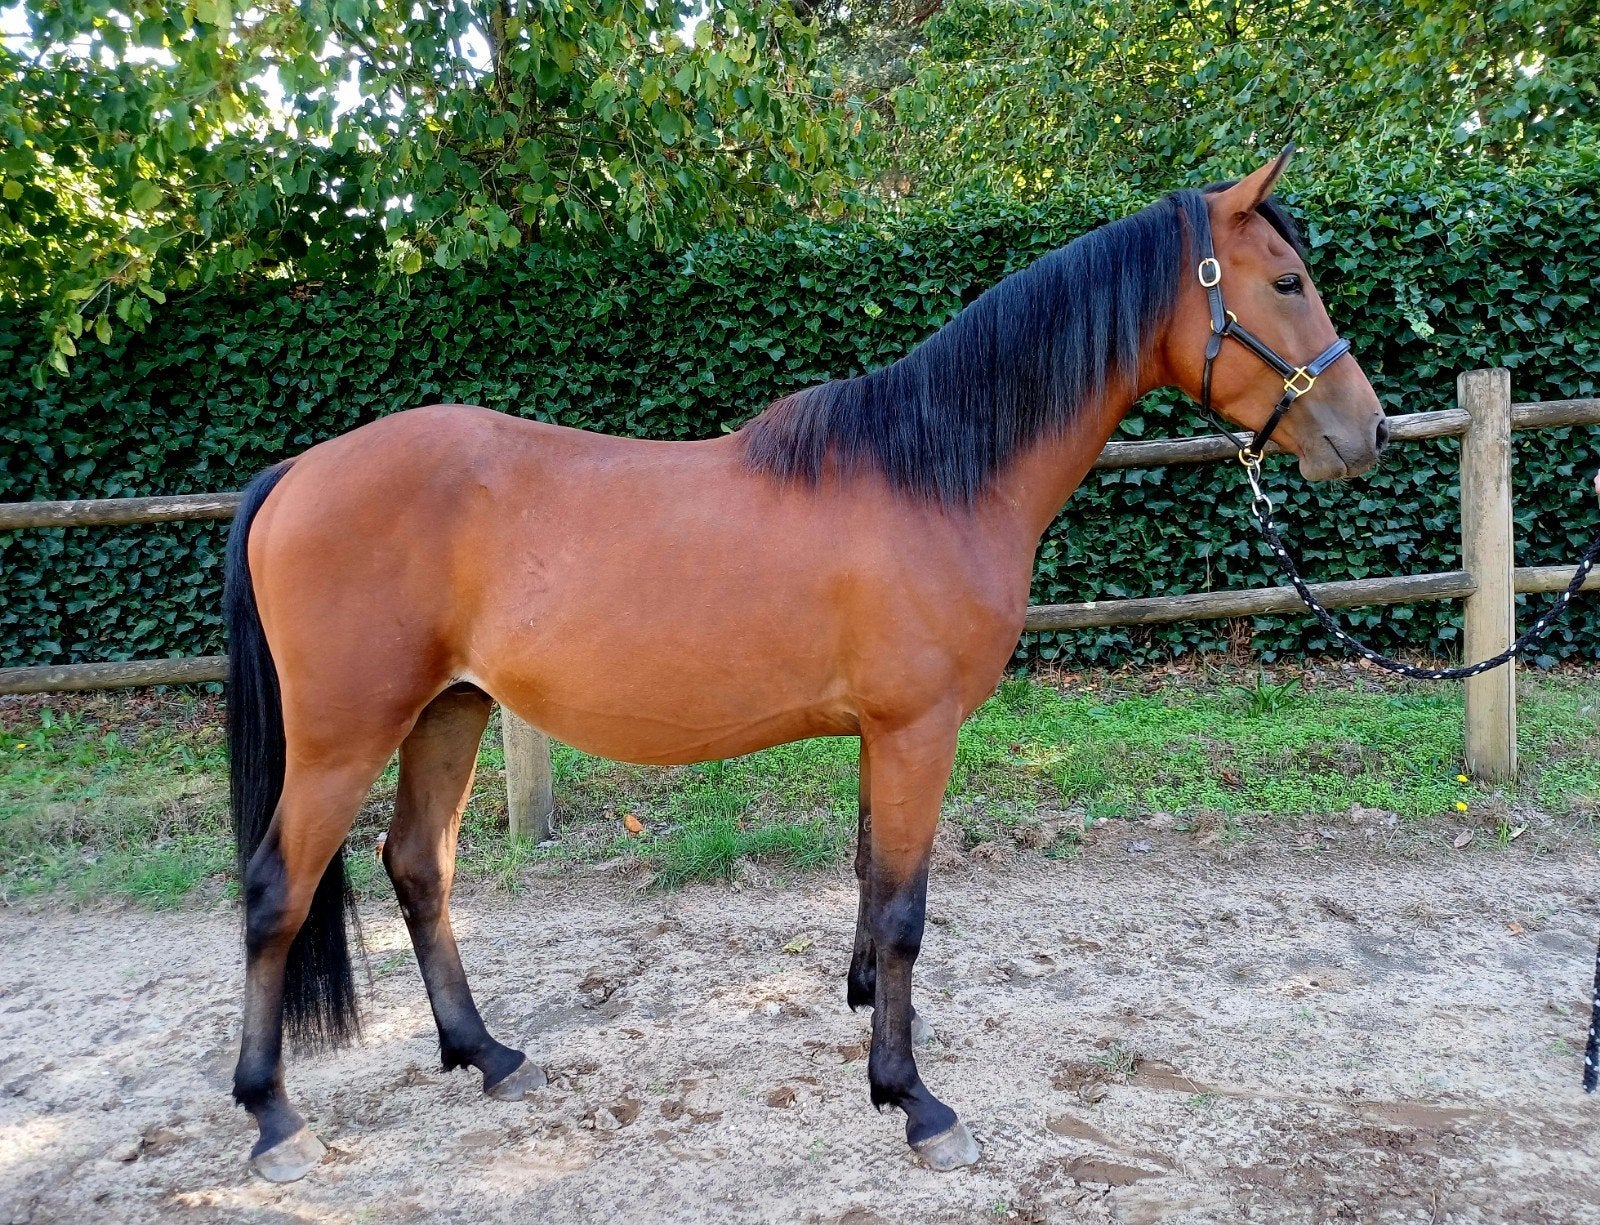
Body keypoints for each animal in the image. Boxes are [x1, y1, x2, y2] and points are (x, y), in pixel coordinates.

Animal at [224, 146, 1386, 1181]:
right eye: (1287, 282)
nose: (1367, 431)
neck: (933, 477)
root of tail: (294, 474)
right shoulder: (919, 729)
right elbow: (907, 911)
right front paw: (913, 1100)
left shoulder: (883, 733)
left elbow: (872, 884)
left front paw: (869, 1020)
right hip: (345, 735)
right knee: (277, 890)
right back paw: (275, 1117)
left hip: (449, 711)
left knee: (419, 866)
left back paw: (488, 1054)